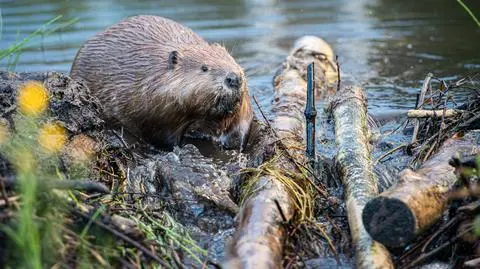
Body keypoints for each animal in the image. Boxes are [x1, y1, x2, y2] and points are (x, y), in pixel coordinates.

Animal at [71, 15, 253, 149]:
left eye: (232, 60)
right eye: (204, 68)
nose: (234, 78)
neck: (155, 76)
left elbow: (242, 126)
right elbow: (163, 136)